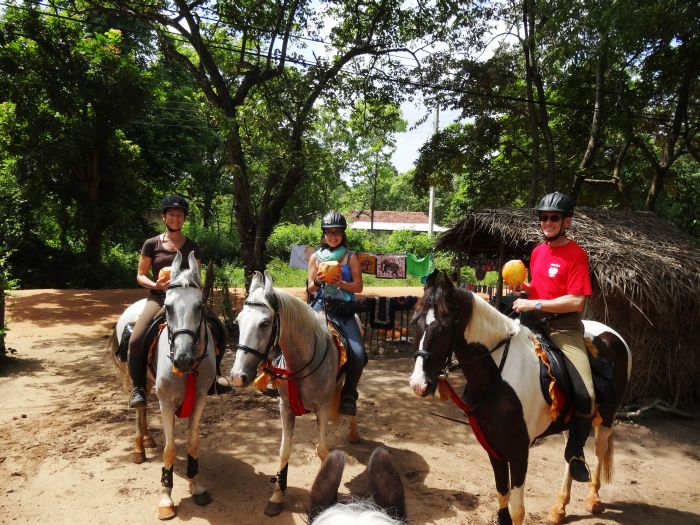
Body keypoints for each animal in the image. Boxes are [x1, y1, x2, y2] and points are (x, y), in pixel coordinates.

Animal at [106, 251, 215, 520]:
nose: (183, 359)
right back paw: (139, 448)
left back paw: (147, 439)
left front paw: (196, 486)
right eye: (168, 306)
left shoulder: (200, 399)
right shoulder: (166, 403)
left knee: (144, 407)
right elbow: (169, 449)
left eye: (200, 306)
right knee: (139, 406)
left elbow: (193, 443)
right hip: (132, 378)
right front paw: (166, 499)